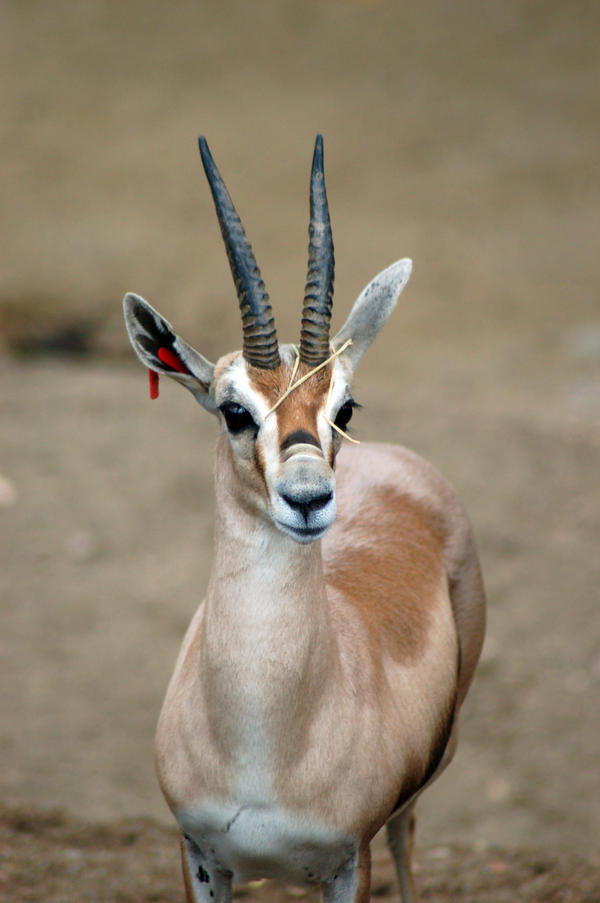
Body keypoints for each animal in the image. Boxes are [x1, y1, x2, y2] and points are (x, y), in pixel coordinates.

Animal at [123, 136, 486, 903]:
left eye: (343, 407)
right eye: (234, 409)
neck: (264, 746)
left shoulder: (349, 860)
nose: (310, 498)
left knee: (409, 834)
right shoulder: (197, 853)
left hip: (414, 794)